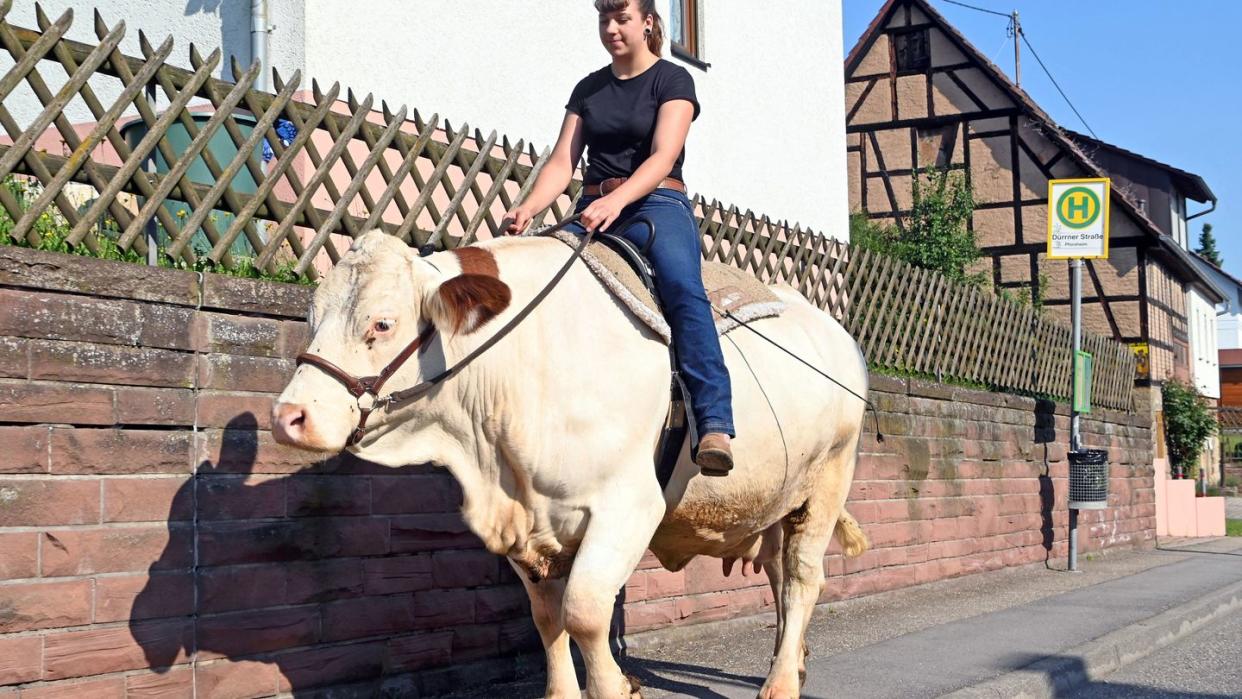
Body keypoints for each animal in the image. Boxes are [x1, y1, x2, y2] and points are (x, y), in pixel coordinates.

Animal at [275, 230, 869, 699]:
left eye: (382, 324)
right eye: (310, 317)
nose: (288, 417)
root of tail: (835, 332)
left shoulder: (628, 506)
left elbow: (583, 611)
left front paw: (618, 687)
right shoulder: (531, 522)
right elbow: (547, 617)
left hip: (828, 480)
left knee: (802, 577)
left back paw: (780, 683)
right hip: (778, 499)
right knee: (778, 573)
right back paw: (790, 662)